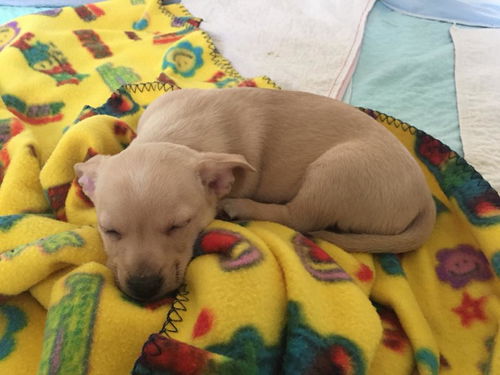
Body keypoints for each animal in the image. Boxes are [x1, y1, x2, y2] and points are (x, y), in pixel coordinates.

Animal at [73, 87, 434, 300]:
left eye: (179, 226)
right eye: (109, 231)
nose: (143, 288)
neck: (174, 135)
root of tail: (425, 199)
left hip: (335, 172)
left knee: (297, 217)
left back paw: (239, 206)